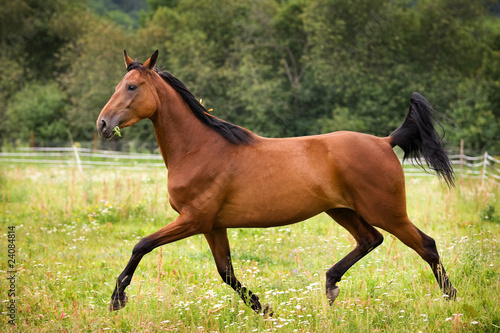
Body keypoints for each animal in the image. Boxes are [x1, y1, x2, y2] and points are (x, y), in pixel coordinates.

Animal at [96, 50, 458, 312]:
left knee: (426, 245)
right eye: (116, 86)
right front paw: (263, 307)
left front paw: (117, 300)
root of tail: (385, 141)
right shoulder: (213, 225)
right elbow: (226, 273)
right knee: (370, 240)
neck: (199, 148)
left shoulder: (193, 219)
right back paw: (330, 286)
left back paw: (451, 298)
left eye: (132, 87)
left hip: (386, 211)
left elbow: (141, 245)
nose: (102, 124)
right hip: (342, 210)